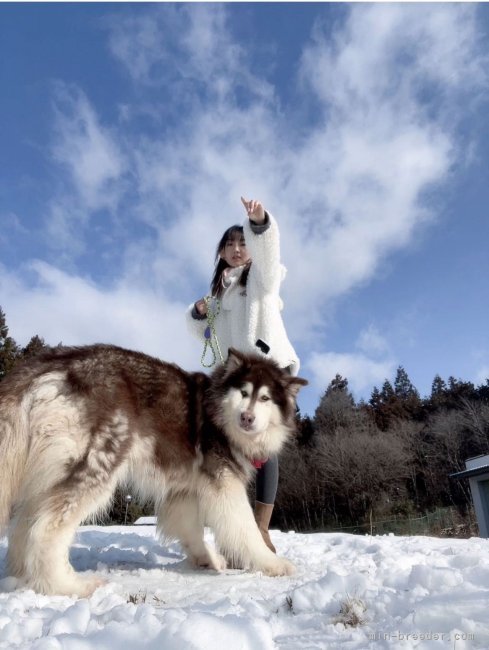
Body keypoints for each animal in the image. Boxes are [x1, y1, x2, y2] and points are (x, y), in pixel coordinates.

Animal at [0, 344, 304, 592]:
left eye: (265, 399)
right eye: (243, 393)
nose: (247, 417)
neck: (217, 412)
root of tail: (53, 362)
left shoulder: (184, 491)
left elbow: (191, 530)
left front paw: (206, 559)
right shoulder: (224, 484)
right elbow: (245, 528)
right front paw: (271, 563)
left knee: (24, 525)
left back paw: (23, 578)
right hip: (96, 466)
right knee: (45, 528)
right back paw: (65, 585)